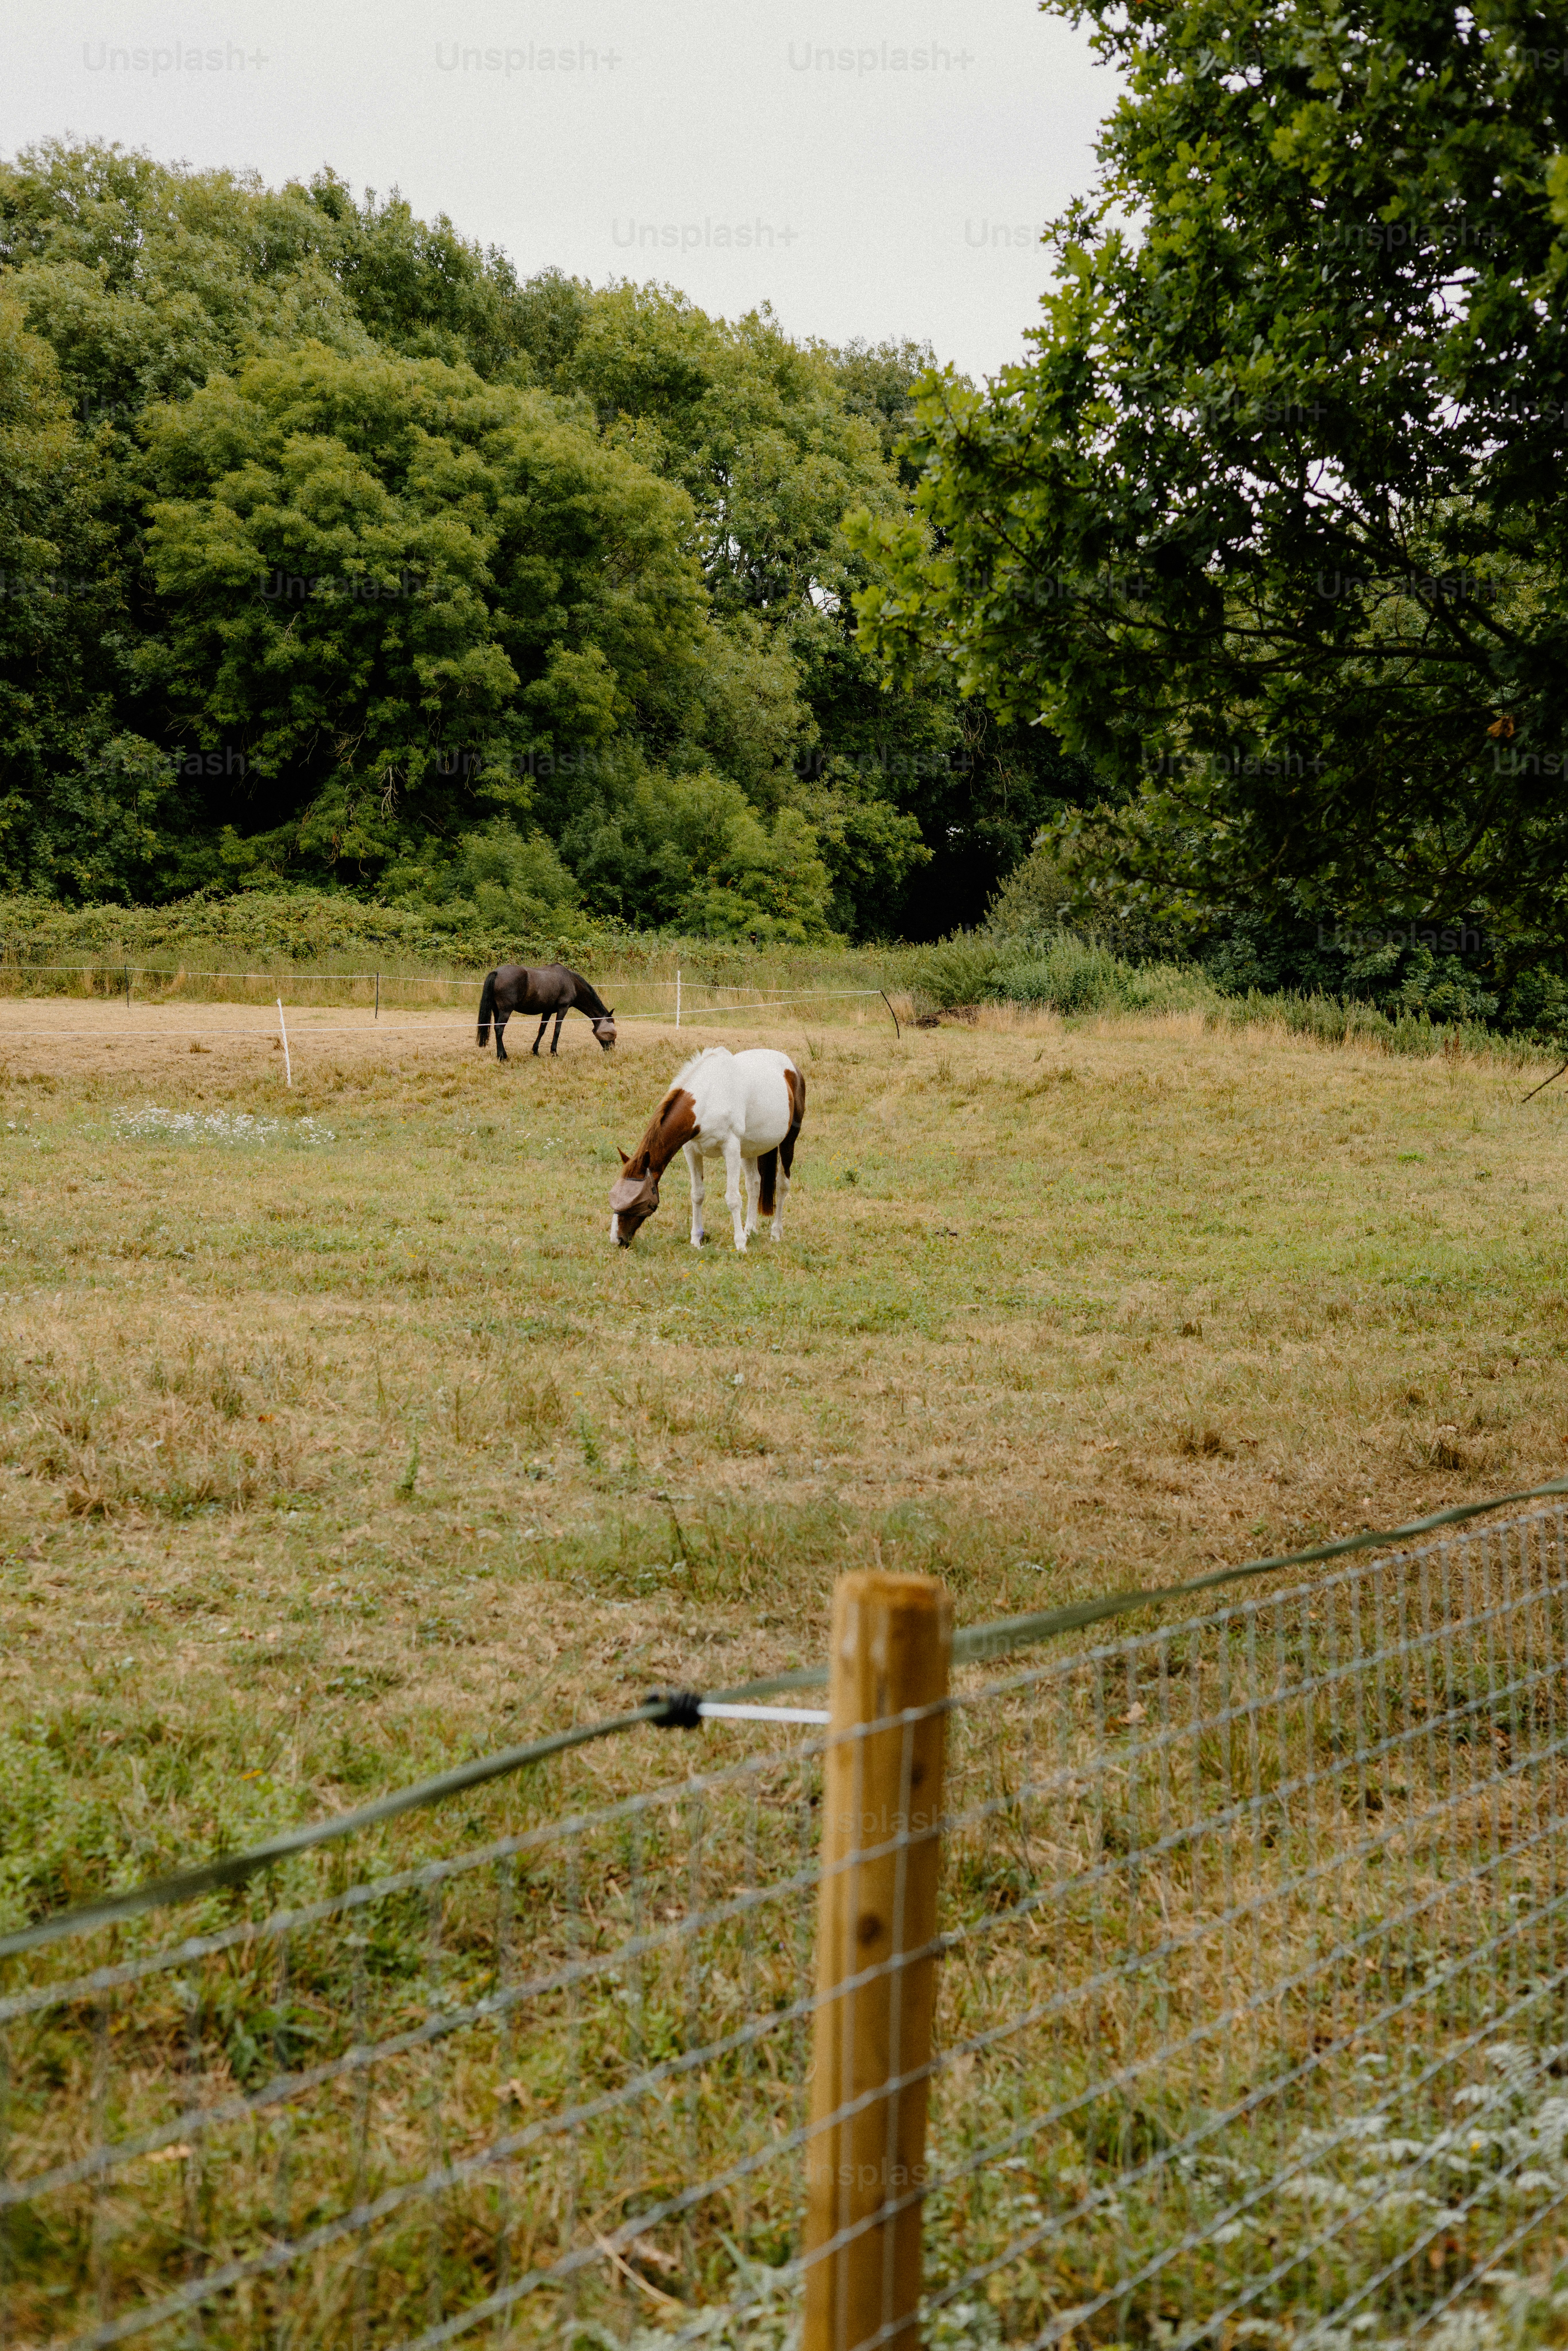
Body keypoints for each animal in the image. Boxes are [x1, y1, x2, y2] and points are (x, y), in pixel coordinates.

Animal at [477, 964, 616, 1060]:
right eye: (612, 1032)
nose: (611, 1049)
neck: (571, 982)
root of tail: (497, 972)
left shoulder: (547, 1011)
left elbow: (542, 1030)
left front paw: (536, 1051)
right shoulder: (563, 1009)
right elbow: (557, 1031)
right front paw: (554, 1052)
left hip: (497, 1011)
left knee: (496, 1030)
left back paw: (502, 1054)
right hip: (506, 1011)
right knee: (500, 1029)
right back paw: (503, 1057)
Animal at [610, 1046, 805, 1252]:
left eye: (637, 1200)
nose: (617, 1239)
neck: (708, 1098)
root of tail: (792, 1067)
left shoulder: (731, 1149)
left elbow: (733, 1198)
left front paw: (740, 1245)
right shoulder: (692, 1151)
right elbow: (697, 1195)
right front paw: (697, 1239)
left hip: (788, 1141)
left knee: (782, 1185)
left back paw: (775, 1233)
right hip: (750, 1148)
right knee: (754, 1184)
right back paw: (750, 1229)